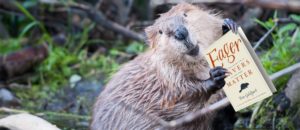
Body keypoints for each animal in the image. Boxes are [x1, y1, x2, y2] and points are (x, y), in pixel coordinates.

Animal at [91, 3, 237, 130]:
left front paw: (228, 26)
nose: (181, 33)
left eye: (185, 14)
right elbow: (180, 95)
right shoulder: (165, 75)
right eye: (160, 31)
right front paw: (215, 76)